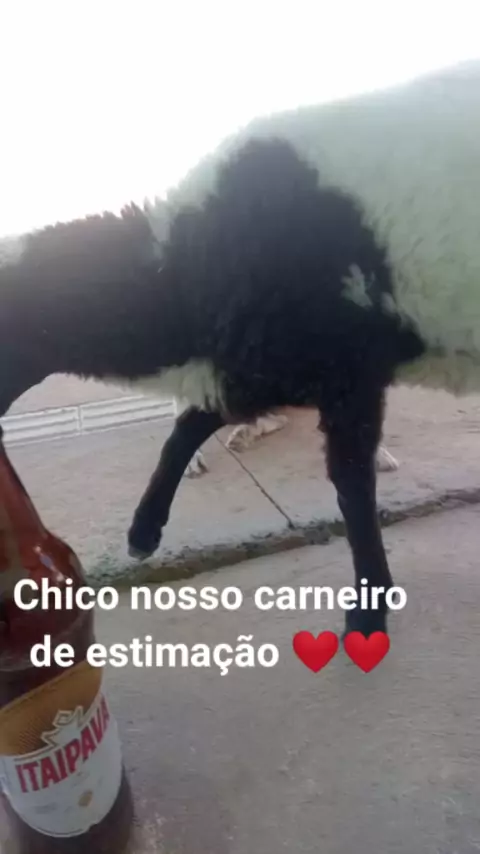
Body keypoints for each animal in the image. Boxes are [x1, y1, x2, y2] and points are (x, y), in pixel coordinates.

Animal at [1, 58, 478, 640]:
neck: (180, 273)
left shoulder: (344, 366)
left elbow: (351, 487)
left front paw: (367, 613)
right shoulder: (269, 360)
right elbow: (194, 423)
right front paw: (143, 532)